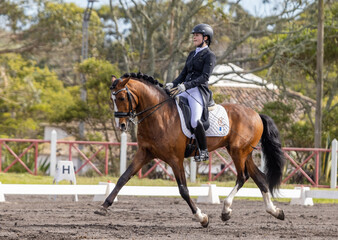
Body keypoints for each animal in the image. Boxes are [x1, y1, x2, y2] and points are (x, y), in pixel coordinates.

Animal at [94, 72, 286, 227]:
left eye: (121, 98)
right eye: (112, 99)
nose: (122, 125)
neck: (159, 115)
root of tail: (256, 114)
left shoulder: (175, 159)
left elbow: (183, 190)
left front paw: (202, 217)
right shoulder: (144, 154)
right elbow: (123, 178)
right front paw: (103, 206)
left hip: (238, 152)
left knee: (243, 176)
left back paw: (226, 210)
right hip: (245, 153)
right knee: (260, 178)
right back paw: (275, 211)